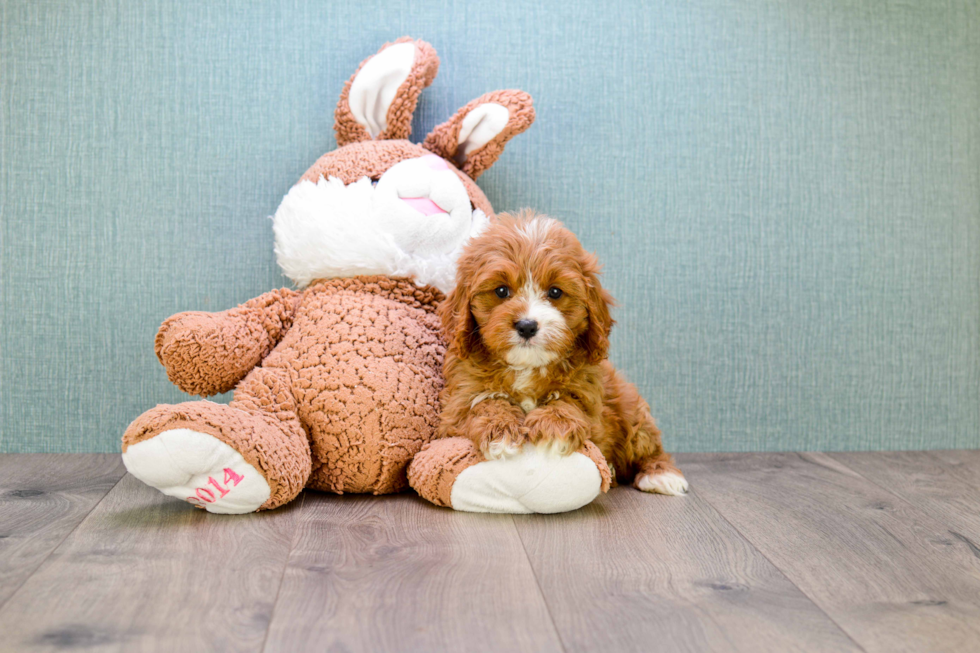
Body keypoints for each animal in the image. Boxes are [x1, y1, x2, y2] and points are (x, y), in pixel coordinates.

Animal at [438, 209, 688, 494]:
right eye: (501, 290)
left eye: (555, 292)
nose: (527, 325)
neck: (527, 366)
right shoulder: (457, 404)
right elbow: (485, 402)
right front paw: (500, 432)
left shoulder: (590, 397)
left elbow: (568, 402)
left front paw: (554, 428)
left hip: (630, 407)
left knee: (648, 444)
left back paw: (660, 474)